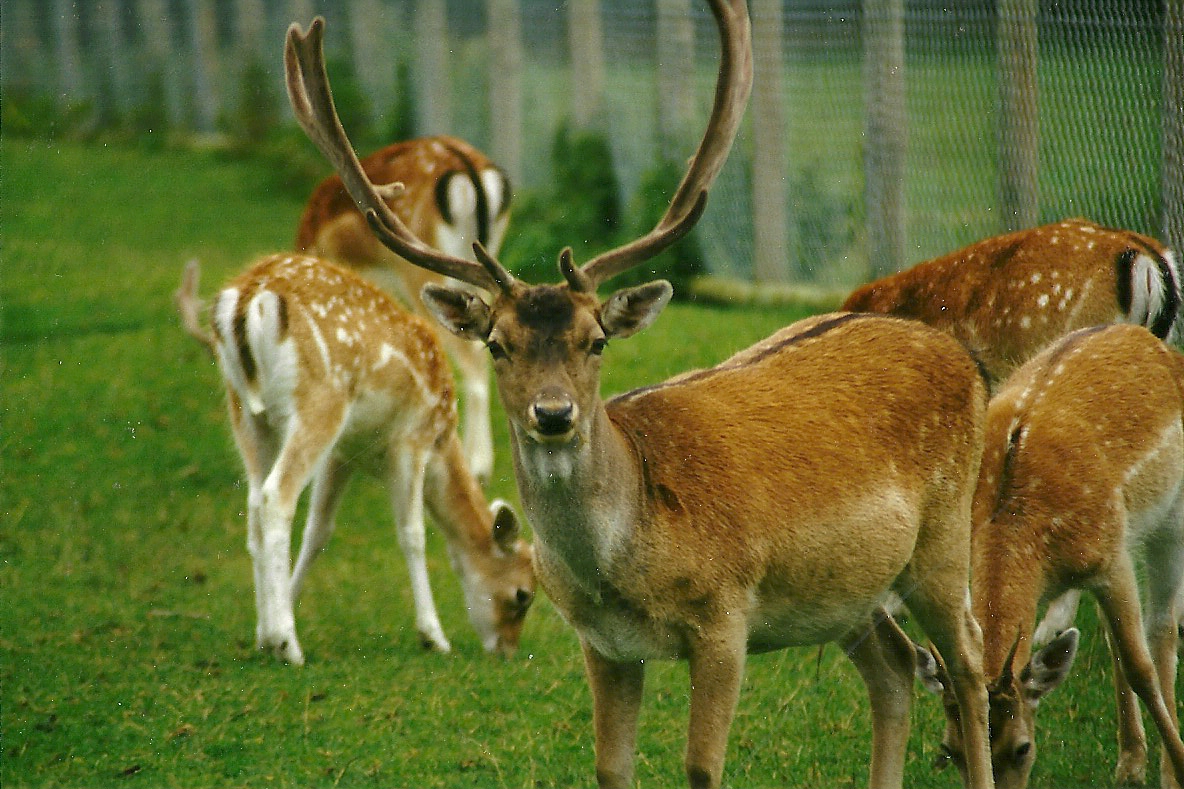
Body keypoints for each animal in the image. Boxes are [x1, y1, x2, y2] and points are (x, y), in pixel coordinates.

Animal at [173, 255, 534, 666]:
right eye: (523, 595)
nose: (507, 649)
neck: (444, 441)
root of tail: (249, 297)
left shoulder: (343, 453)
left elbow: (318, 531)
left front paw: (286, 604)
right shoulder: (413, 438)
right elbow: (412, 533)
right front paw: (433, 636)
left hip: (246, 412)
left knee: (253, 505)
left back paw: (267, 634)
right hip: (320, 401)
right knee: (276, 496)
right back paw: (288, 645)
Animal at [908, 324, 1184, 789]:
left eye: (1023, 748)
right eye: (948, 751)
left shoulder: (1109, 557)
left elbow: (1139, 667)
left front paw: (1180, 767)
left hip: (1169, 517)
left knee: (1162, 627)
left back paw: (1164, 769)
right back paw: (1130, 762)